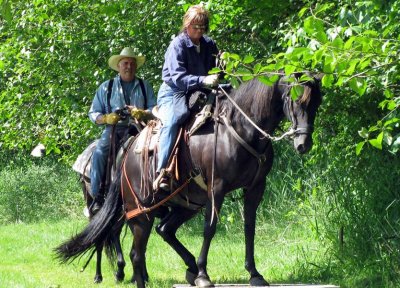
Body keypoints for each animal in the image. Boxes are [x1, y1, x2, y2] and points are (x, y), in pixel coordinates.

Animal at [55, 75, 322, 288]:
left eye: (316, 103)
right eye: (295, 100)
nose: (303, 144)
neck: (240, 129)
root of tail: (127, 151)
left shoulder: (255, 188)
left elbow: (250, 228)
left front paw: (254, 273)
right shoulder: (217, 188)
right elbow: (210, 228)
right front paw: (204, 274)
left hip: (186, 205)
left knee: (163, 231)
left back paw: (188, 267)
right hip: (139, 210)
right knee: (132, 249)